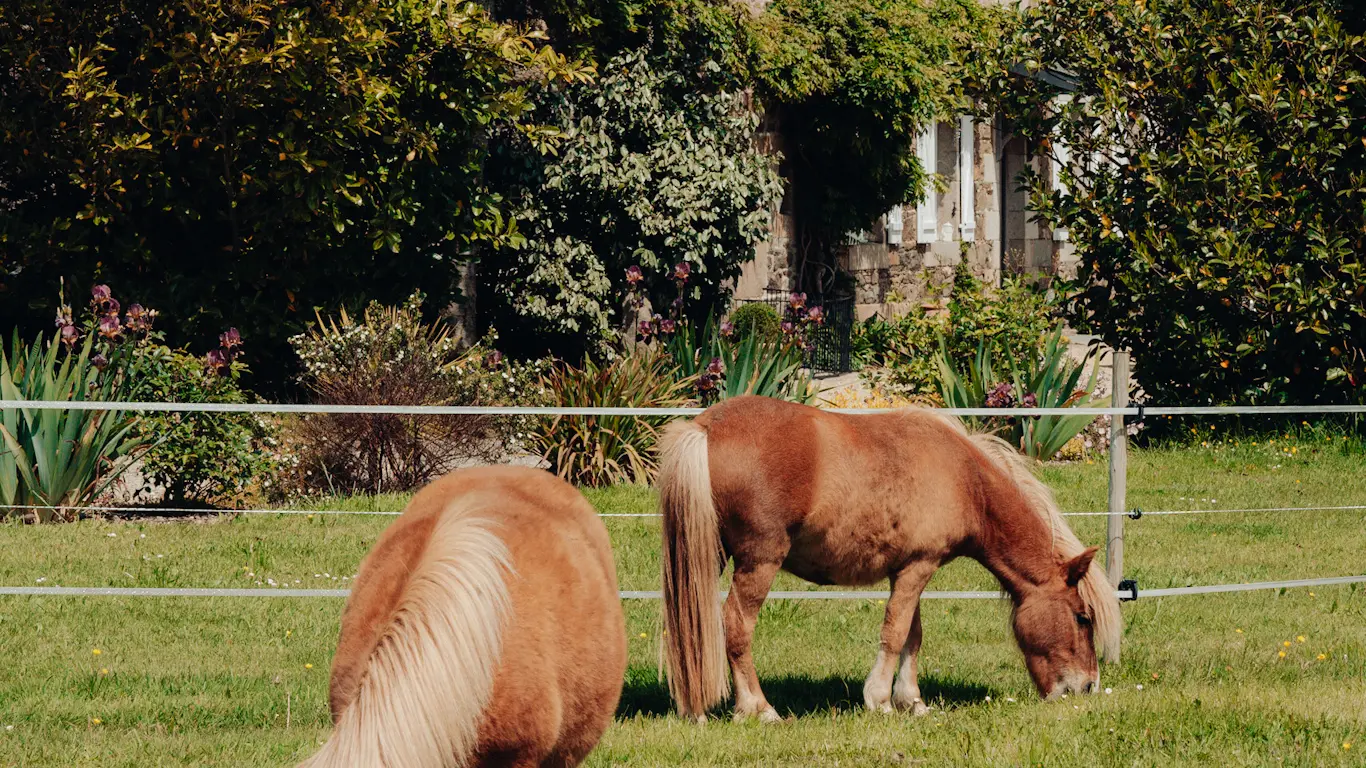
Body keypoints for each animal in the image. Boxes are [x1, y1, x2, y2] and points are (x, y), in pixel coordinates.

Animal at [661, 393, 1120, 716]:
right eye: (1082, 617)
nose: (1087, 687)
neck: (965, 479)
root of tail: (705, 427)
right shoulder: (920, 566)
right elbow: (896, 632)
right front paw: (880, 699)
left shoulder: (908, 568)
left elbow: (913, 634)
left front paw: (911, 701)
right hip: (760, 561)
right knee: (736, 626)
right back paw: (758, 708)